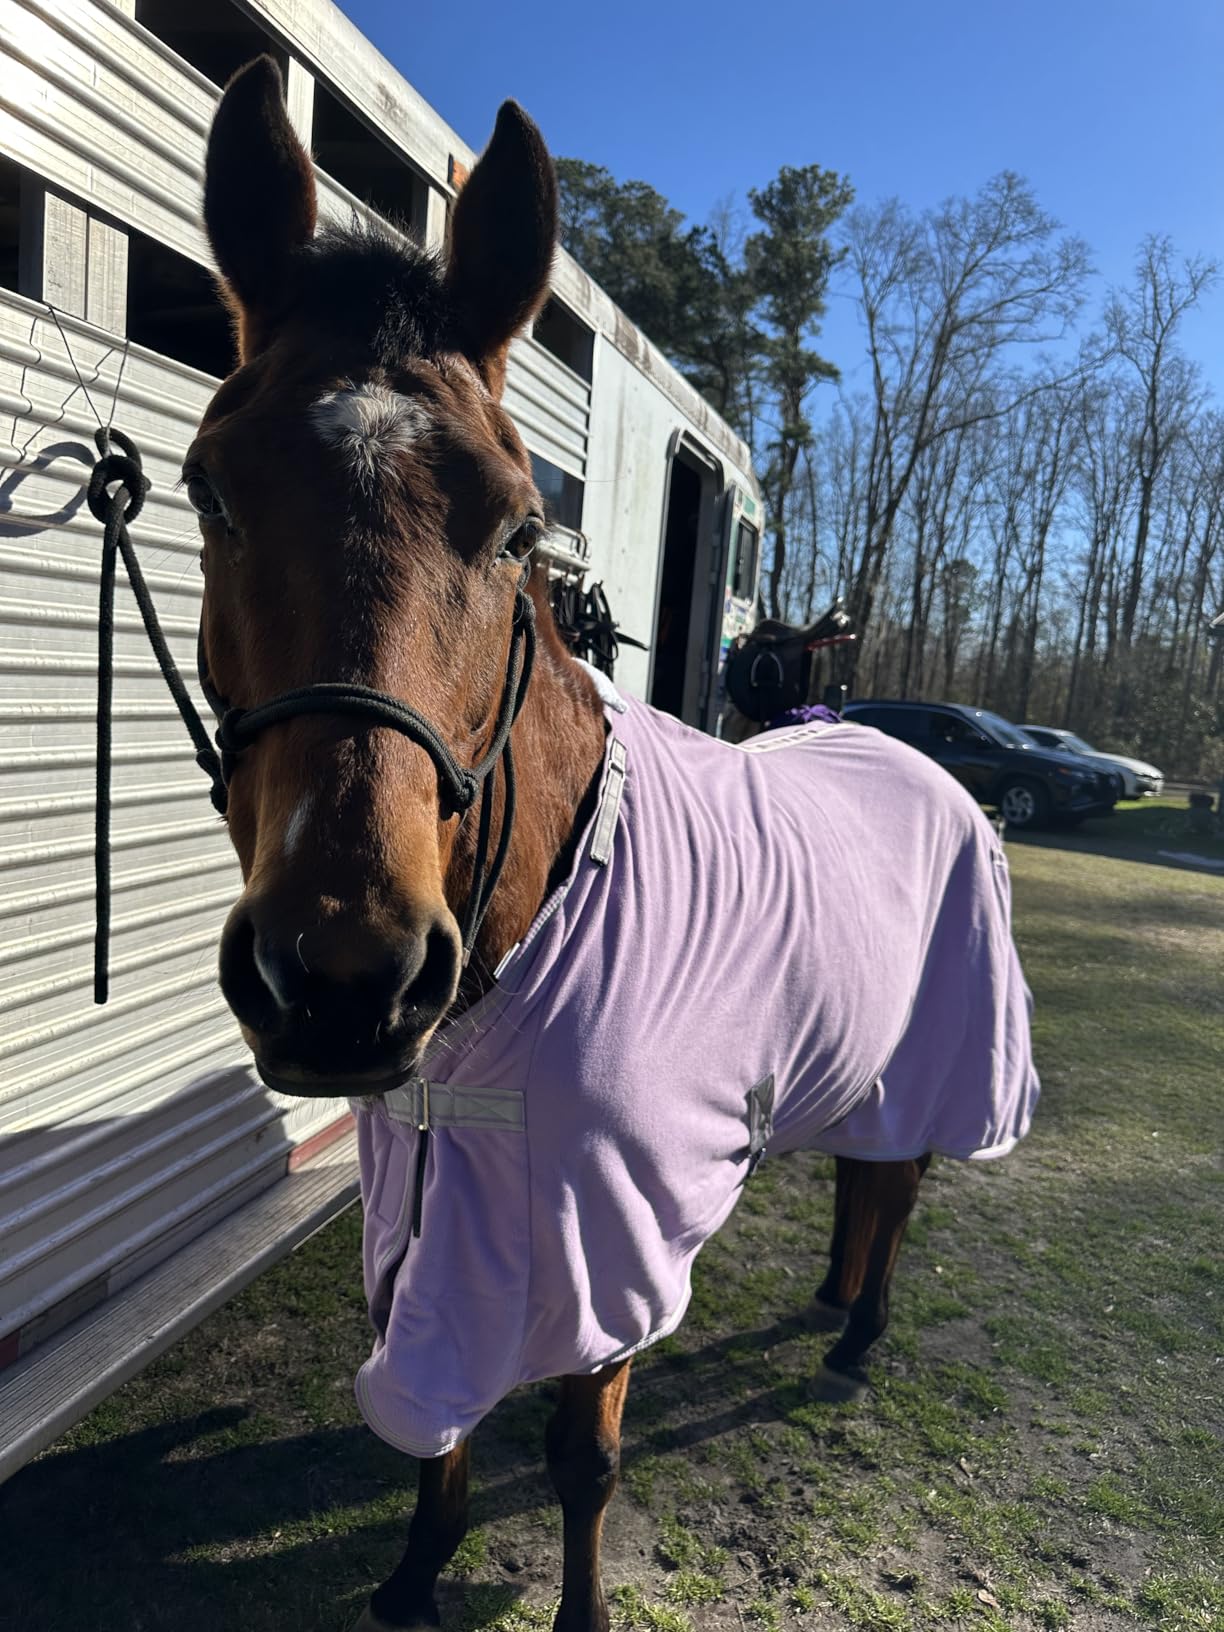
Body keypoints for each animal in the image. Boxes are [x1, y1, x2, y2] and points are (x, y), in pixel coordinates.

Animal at [193, 59, 1038, 1632]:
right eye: (210, 486)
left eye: (520, 526)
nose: (339, 977)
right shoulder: (431, 1198)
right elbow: (436, 1417)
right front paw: (415, 1574)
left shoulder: (616, 1225)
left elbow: (583, 1454)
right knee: (863, 1173)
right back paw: (834, 1304)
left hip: (937, 1046)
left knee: (898, 1181)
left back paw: (859, 1337)